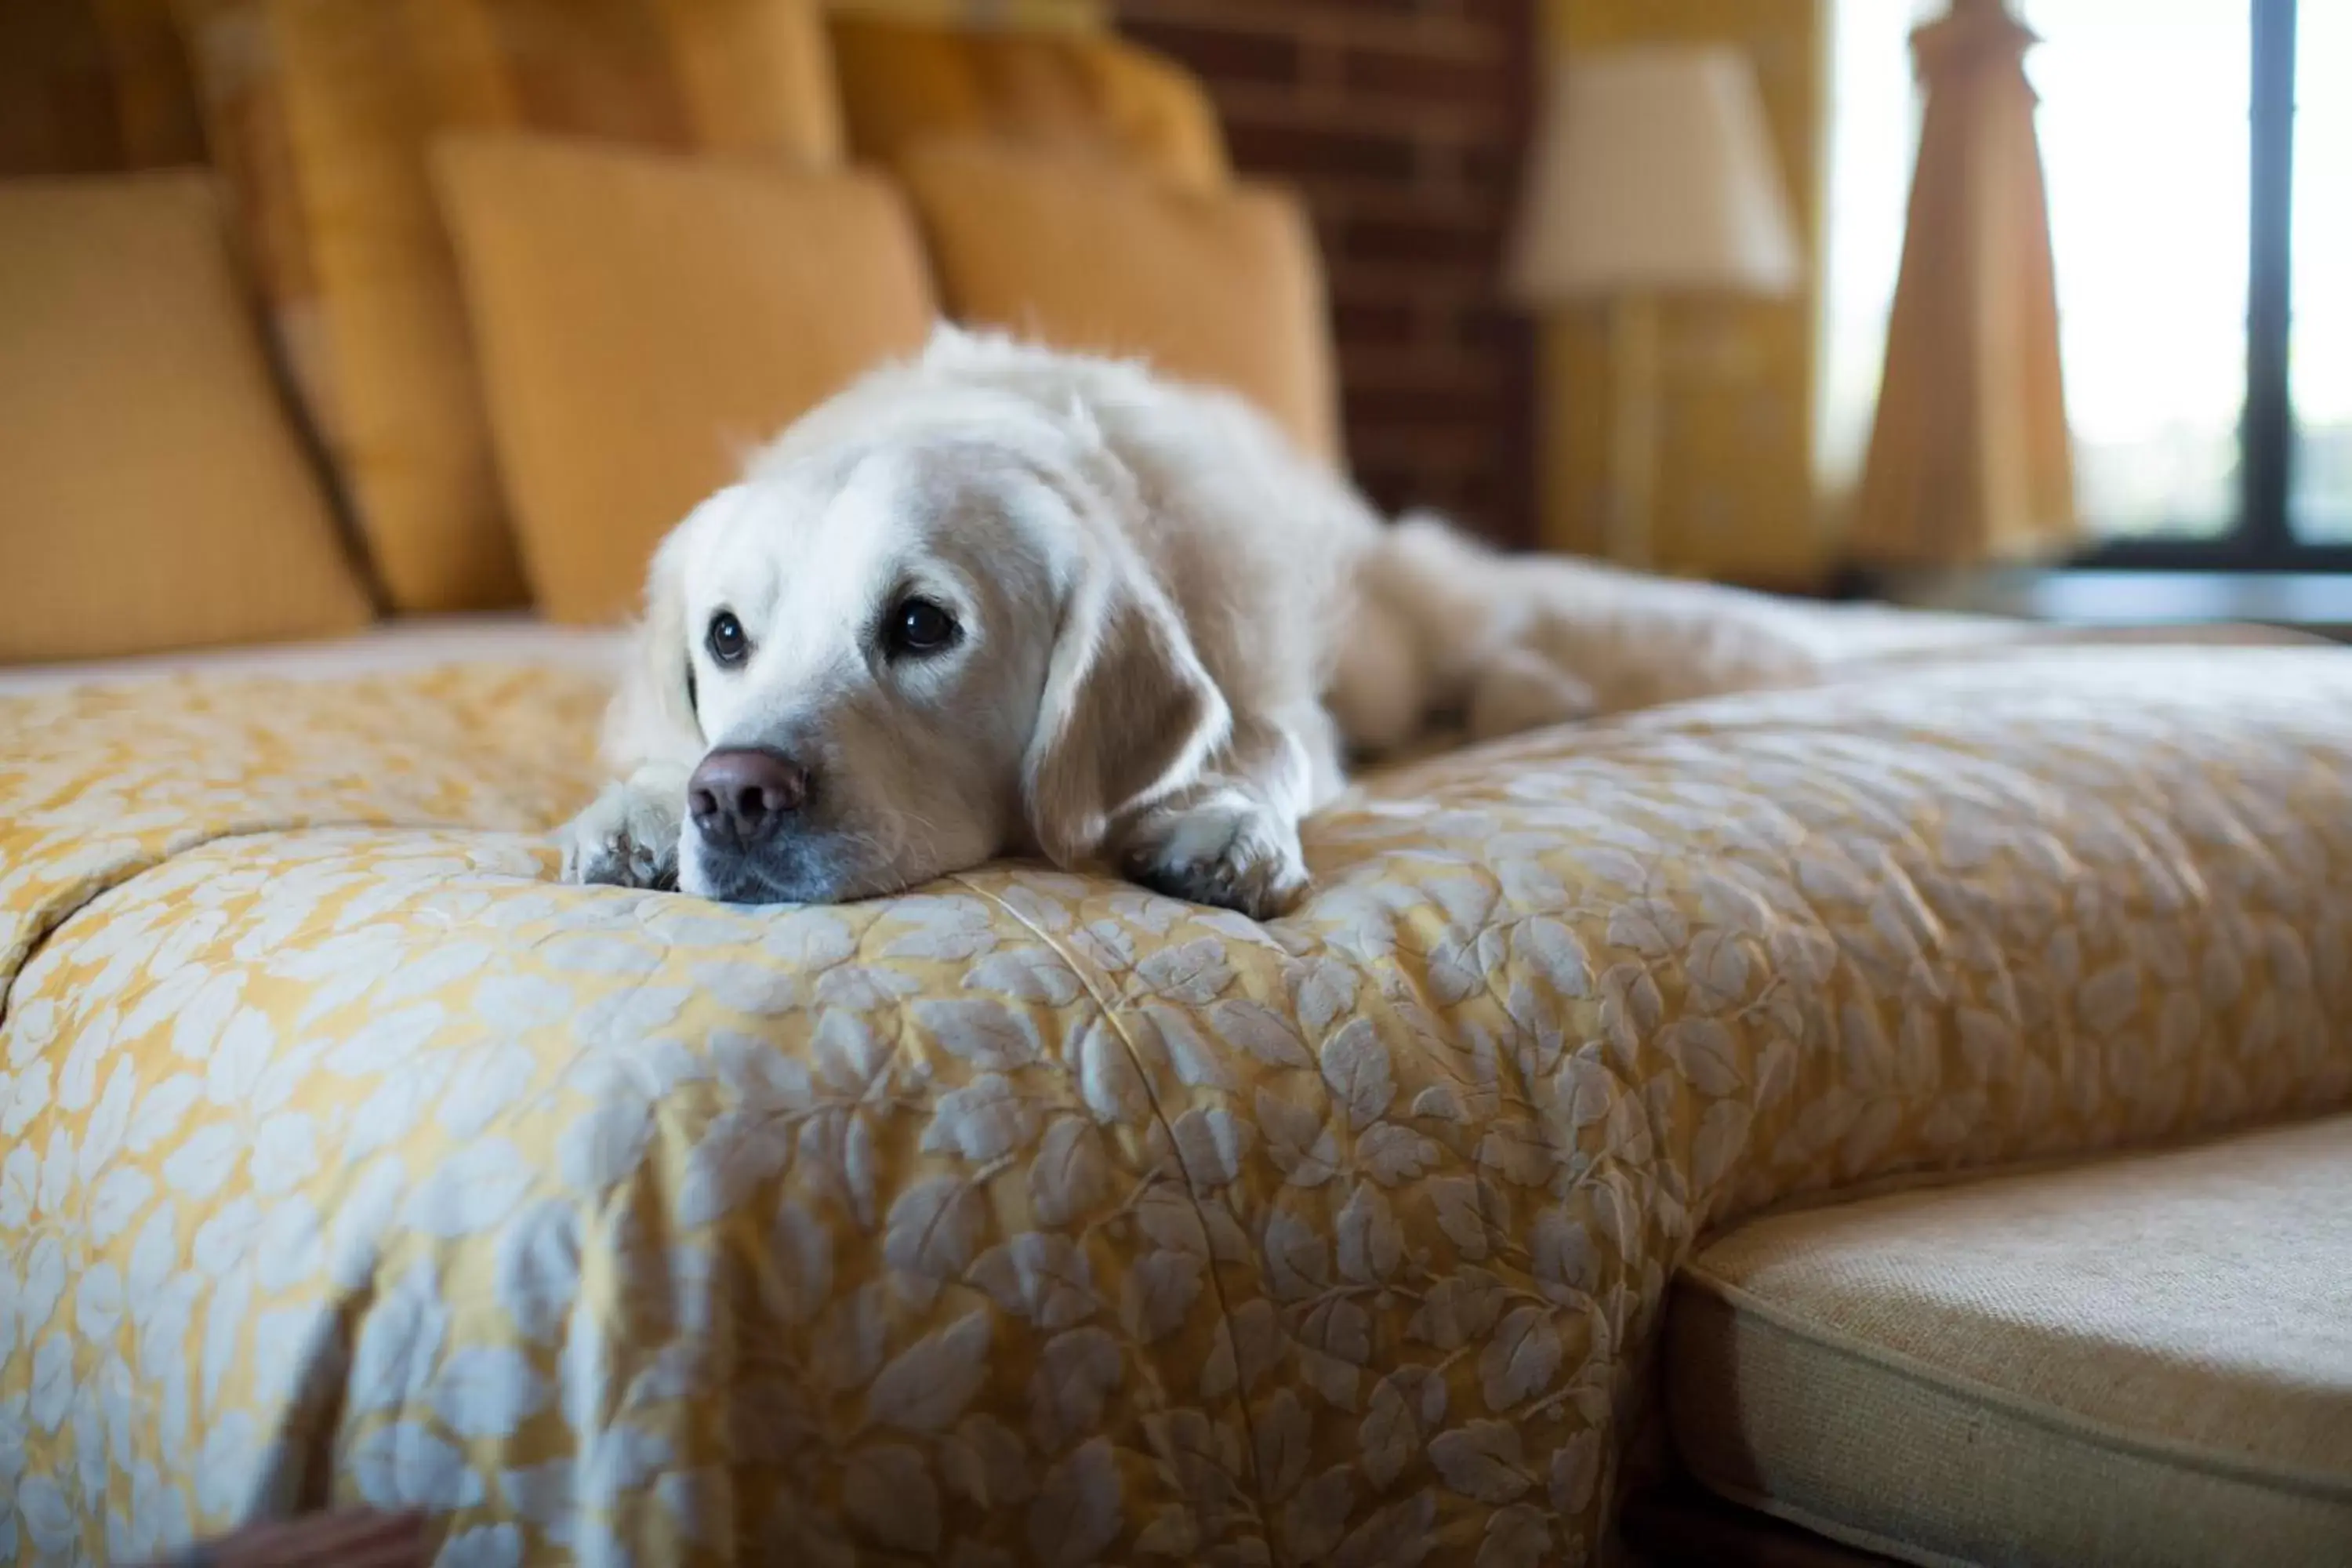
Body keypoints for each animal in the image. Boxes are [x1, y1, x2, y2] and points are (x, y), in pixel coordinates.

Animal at [564, 331, 1599, 921]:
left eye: (921, 623)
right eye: (726, 636)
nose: (736, 795)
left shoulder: (1282, 701)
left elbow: (1267, 745)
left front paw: (1226, 820)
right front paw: (639, 809)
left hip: (1379, 647)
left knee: (1464, 631)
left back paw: (1541, 694)